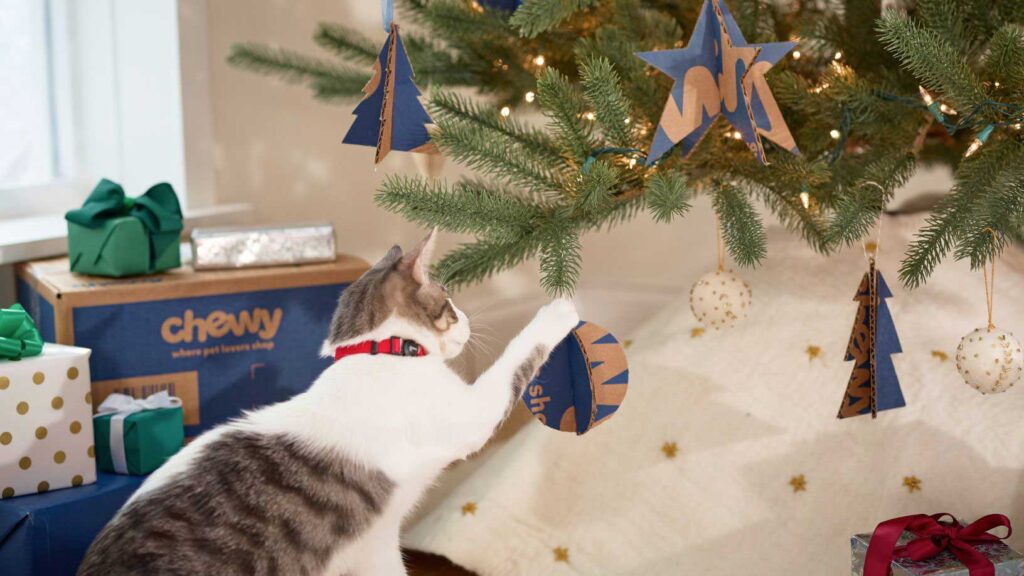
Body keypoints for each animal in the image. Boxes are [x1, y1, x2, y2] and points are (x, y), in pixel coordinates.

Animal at [75, 228, 581, 573]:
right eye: (449, 303)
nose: (468, 323)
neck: (377, 351)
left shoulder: (375, 544)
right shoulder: (468, 414)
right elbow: (518, 357)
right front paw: (558, 309)